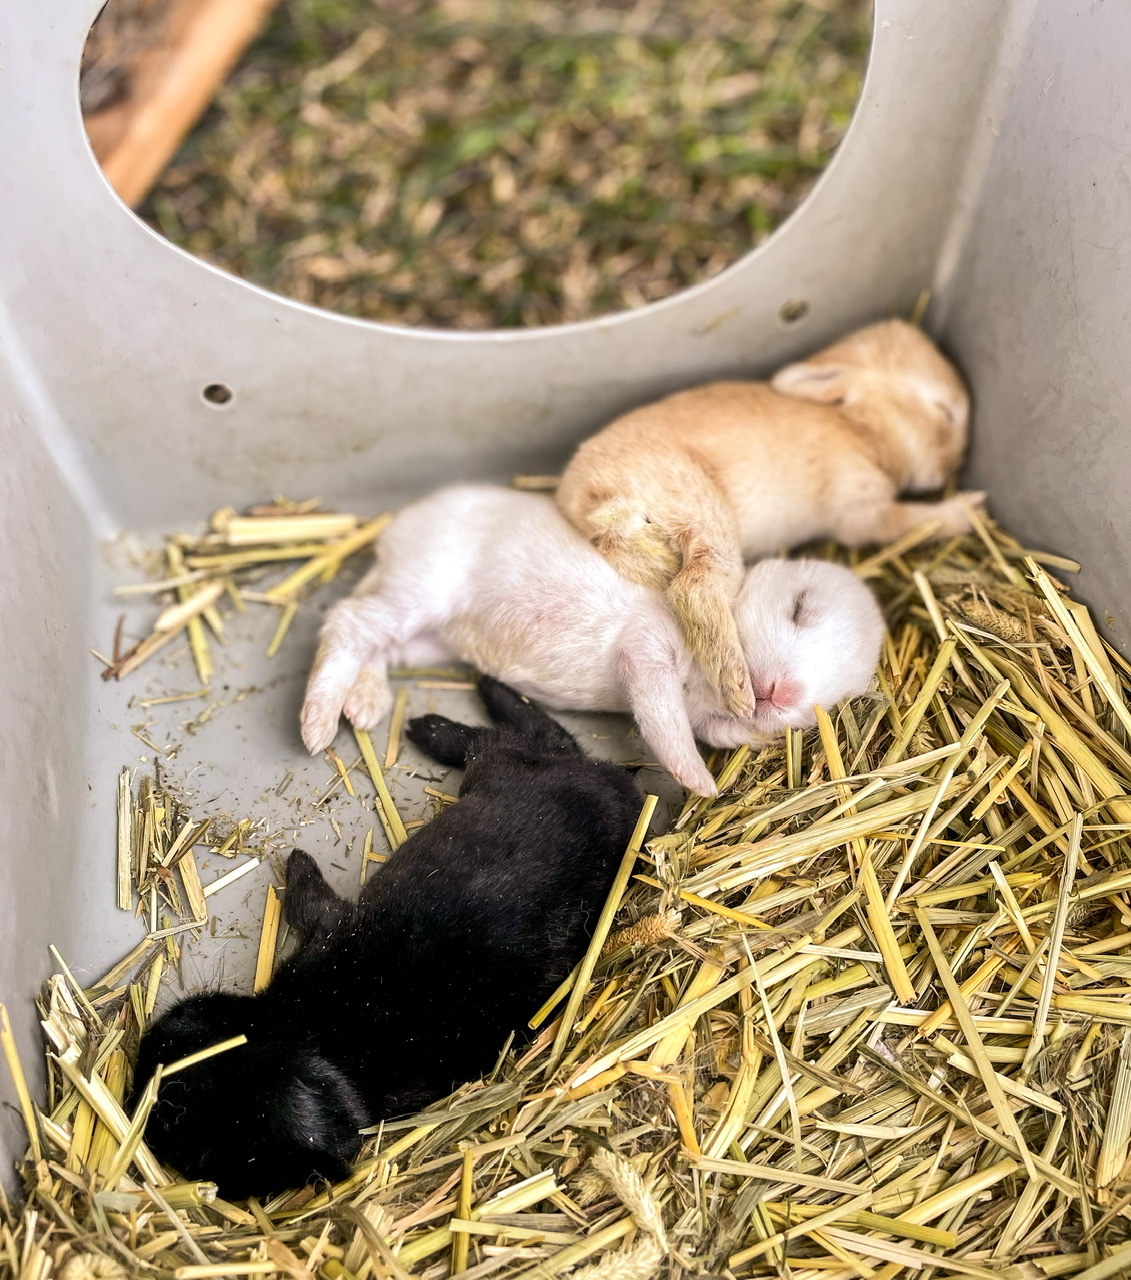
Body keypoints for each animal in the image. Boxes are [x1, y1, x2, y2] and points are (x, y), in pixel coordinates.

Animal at [131, 676, 642, 1200]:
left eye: (179, 1088)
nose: (157, 1034)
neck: (318, 1032)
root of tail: (619, 783)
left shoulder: (328, 930)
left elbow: (307, 898)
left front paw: (296, 862)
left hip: (502, 766)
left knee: (506, 738)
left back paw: (437, 721)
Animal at [300, 485, 884, 798]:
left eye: (837, 697)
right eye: (800, 607)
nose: (783, 694)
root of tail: (390, 542)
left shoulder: (703, 711)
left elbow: (712, 730)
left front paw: (751, 742)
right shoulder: (648, 648)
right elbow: (663, 720)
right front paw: (701, 784)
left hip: (428, 638)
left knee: (373, 641)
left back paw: (364, 702)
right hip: (424, 587)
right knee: (348, 622)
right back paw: (318, 724)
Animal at [555, 318, 982, 717]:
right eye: (944, 410)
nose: (950, 473)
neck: (859, 426)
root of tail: (593, 495)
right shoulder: (862, 511)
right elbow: (910, 521)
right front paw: (970, 509)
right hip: (704, 516)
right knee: (694, 587)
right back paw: (738, 690)